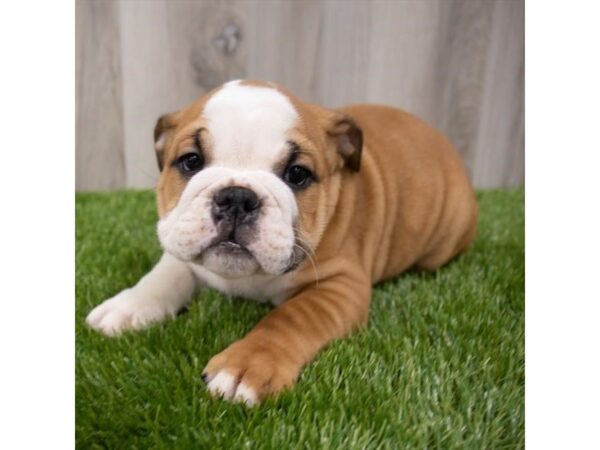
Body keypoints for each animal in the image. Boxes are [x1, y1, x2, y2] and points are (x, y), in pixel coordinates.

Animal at [85, 79, 478, 406]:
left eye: (297, 174)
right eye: (190, 161)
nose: (237, 197)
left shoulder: (340, 284)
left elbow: (291, 317)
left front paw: (246, 366)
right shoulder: (181, 240)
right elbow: (166, 272)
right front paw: (129, 306)